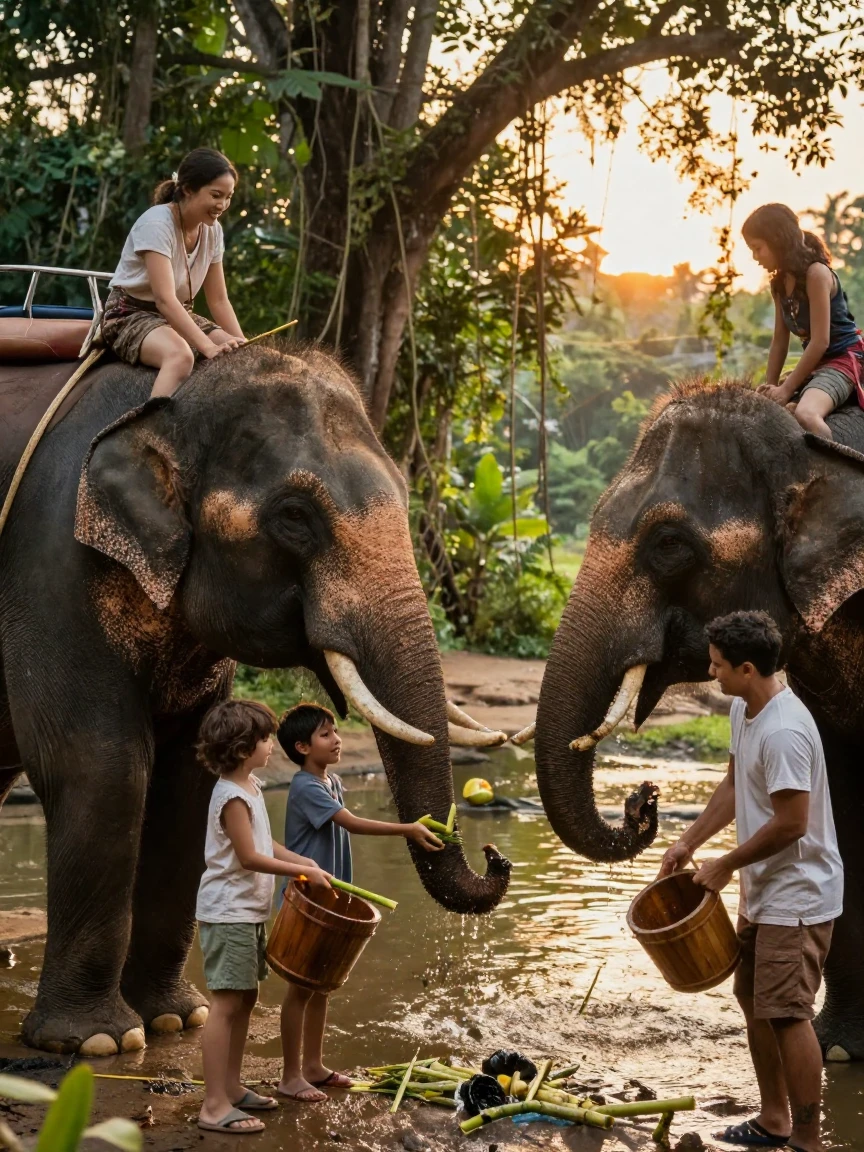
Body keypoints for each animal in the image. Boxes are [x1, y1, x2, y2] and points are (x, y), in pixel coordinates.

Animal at [0, 346, 510, 1055]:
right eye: (294, 515)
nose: (494, 854)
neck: (175, 401)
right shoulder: (50, 561)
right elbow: (99, 766)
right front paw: (99, 1042)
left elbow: (190, 778)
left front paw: (175, 1020)